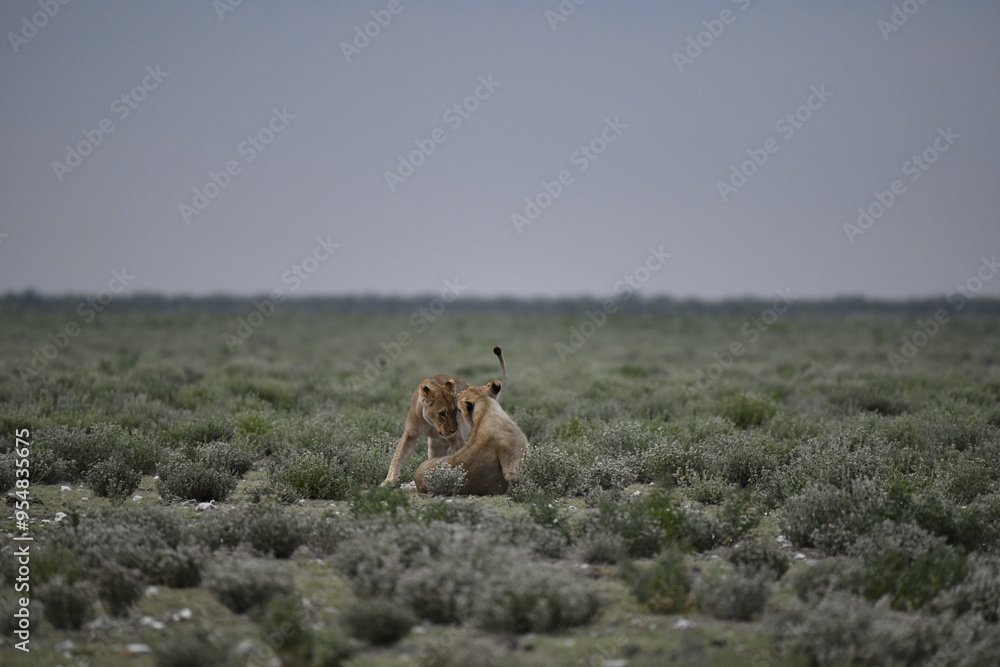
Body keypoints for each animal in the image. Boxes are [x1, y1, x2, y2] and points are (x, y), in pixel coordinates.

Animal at [380, 347, 506, 487]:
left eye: (456, 411)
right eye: (442, 413)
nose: (453, 429)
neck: (430, 424)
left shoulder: (457, 438)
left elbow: (461, 459)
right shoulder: (410, 434)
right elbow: (398, 456)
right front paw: (389, 481)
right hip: (435, 445)